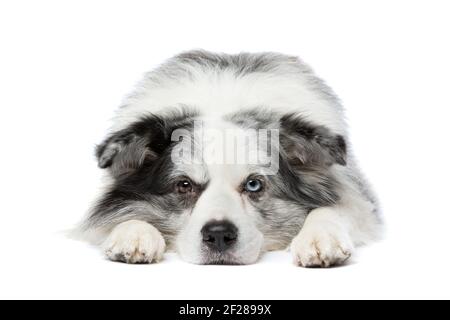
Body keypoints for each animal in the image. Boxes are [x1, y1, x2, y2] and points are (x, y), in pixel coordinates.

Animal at [75, 50, 382, 268]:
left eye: (254, 184)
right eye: (184, 185)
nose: (219, 235)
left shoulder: (357, 195)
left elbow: (334, 209)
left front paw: (320, 237)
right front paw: (133, 234)